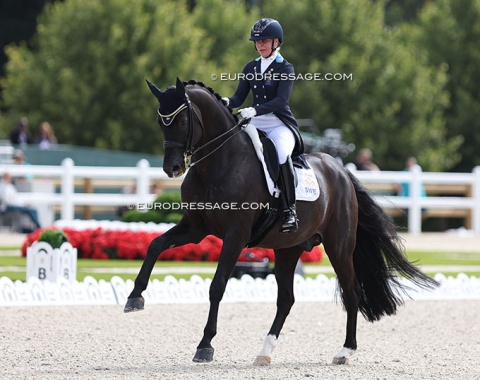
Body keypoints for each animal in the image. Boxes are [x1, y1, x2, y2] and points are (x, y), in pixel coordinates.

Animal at [124, 78, 438, 366]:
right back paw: (264, 352)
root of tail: (340, 170)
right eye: (161, 121)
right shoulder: (196, 228)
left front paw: (205, 345)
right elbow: (155, 245)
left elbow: (217, 286)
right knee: (286, 299)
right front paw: (135, 298)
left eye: (182, 119)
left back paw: (345, 351)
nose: (173, 168)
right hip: (289, 249)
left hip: (339, 247)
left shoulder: (235, 235)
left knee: (351, 292)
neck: (218, 163)